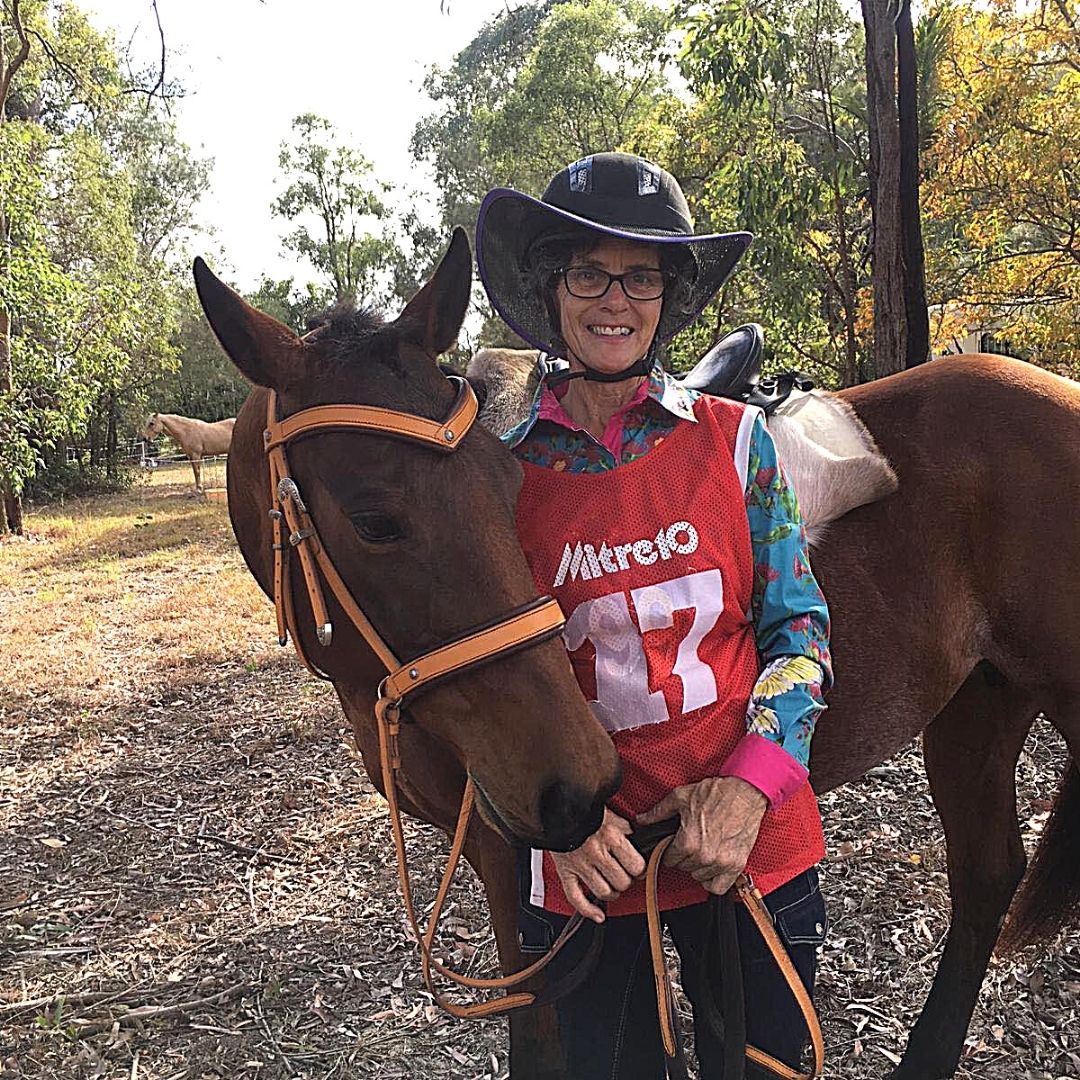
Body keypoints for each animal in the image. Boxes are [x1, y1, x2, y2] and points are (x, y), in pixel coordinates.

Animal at [196, 230, 1080, 1080]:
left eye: (505, 484)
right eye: (374, 520)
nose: (579, 784)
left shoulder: (516, 870)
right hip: (979, 704)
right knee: (987, 873)